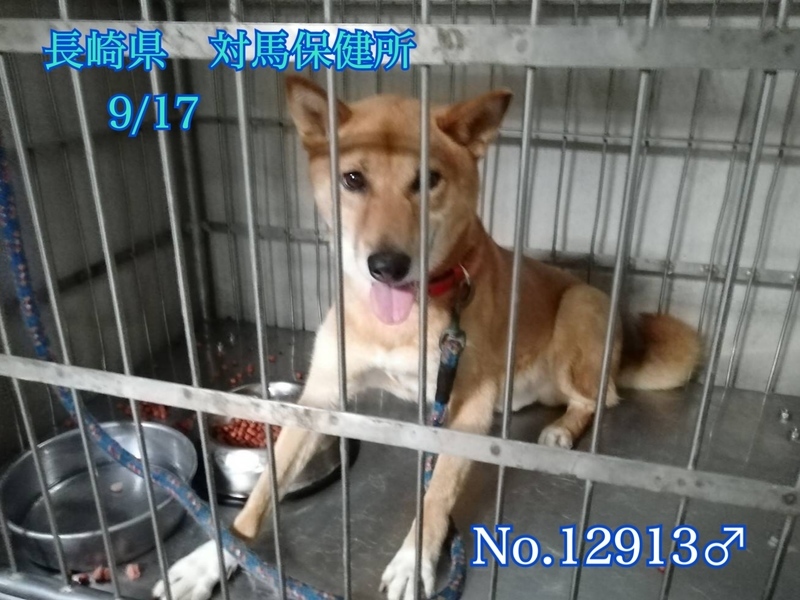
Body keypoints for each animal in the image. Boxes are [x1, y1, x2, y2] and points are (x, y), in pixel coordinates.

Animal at [153, 75, 700, 600]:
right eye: (353, 179)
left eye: (428, 181)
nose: (387, 265)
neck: (402, 318)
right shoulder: (322, 399)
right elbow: (265, 488)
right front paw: (212, 557)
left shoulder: (468, 412)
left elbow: (436, 497)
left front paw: (414, 562)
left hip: (577, 311)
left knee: (598, 398)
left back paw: (564, 429)